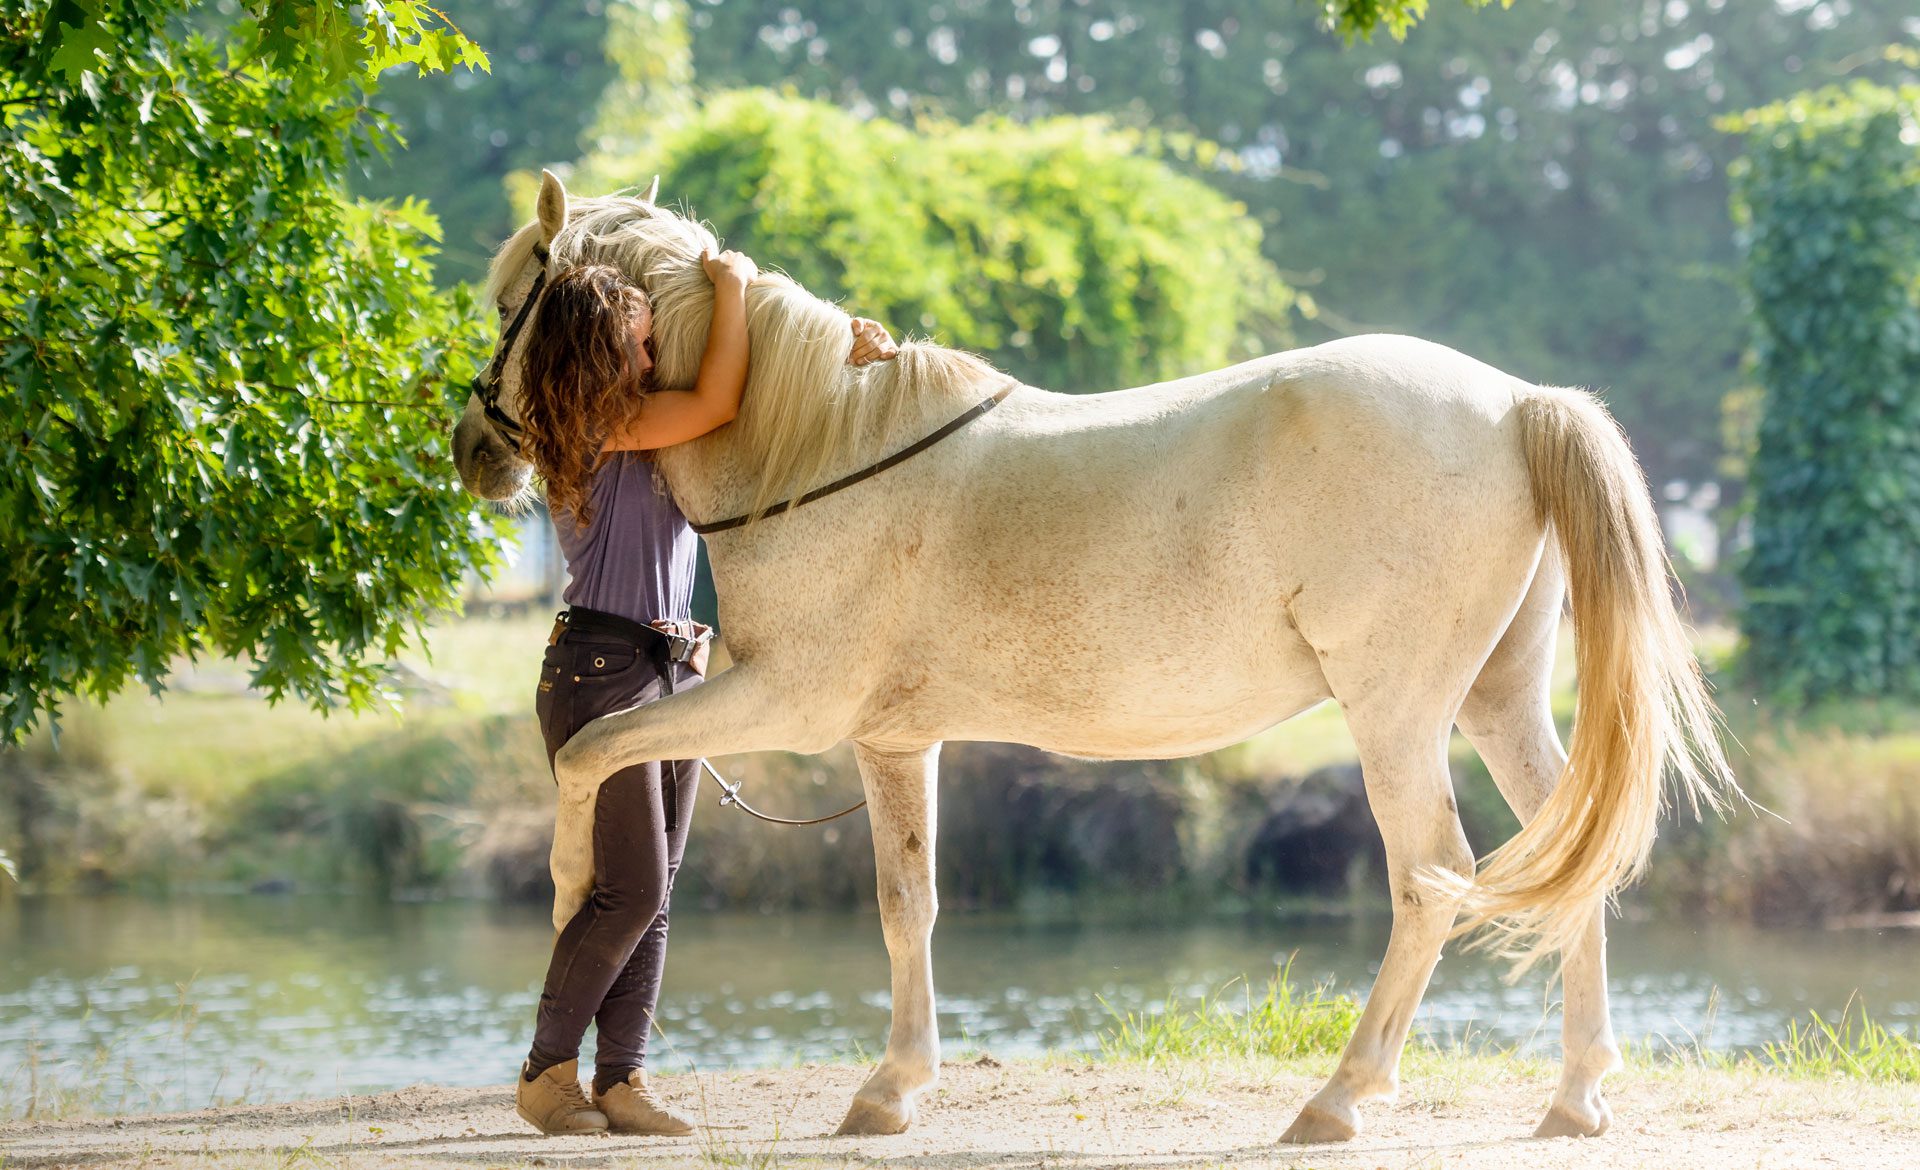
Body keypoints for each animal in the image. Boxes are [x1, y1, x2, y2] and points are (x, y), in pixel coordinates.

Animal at [451, 170, 1736, 1143]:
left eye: (515, 296)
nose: (472, 446)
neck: (819, 449)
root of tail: (1517, 403)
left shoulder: (785, 704)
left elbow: (593, 753)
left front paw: (565, 887)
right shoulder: (893, 741)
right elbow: (907, 904)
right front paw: (892, 1089)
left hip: (1396, 715)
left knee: (1429, 876)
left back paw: (1339, 1099)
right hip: (1496, 701)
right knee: (1569, 856)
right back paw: (1574, 1099)